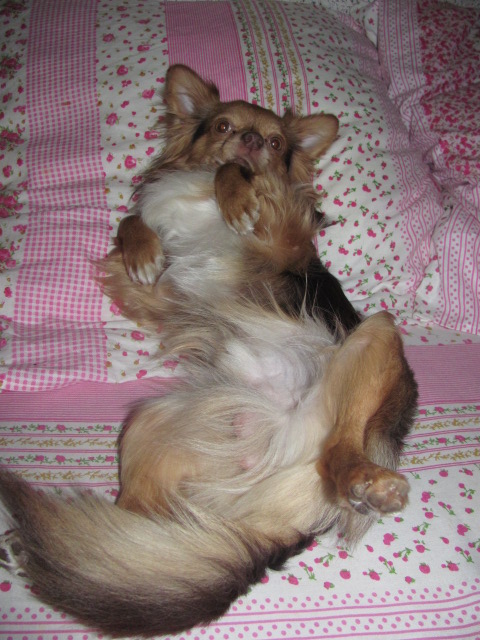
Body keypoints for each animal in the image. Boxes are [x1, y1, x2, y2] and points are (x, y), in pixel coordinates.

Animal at [0, 65, 418, 638]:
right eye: (222, 125)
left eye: (274, 143)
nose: (248, 142)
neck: (199, 196)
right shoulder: (159, 295)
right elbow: (133, 227)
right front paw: (142, 246)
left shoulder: (284, 231)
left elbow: (237, 177)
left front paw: (237, 193)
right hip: (151, 425)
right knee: (144, 526)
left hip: (377, 335)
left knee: (342, 450)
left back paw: (365, 482)